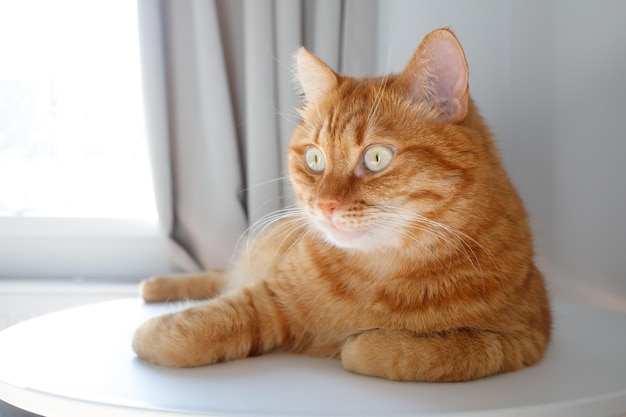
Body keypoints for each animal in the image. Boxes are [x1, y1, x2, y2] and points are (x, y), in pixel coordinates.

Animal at [132, 28, 544, 380]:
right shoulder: (273, 295)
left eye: (376, 158)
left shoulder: (524, 339)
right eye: (315, 159)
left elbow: (427, 354)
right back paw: (154, 286)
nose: (325, 205)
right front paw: (153, 333)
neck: (380, 275)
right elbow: (215, 319)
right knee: (222, 277)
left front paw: (363, 343)